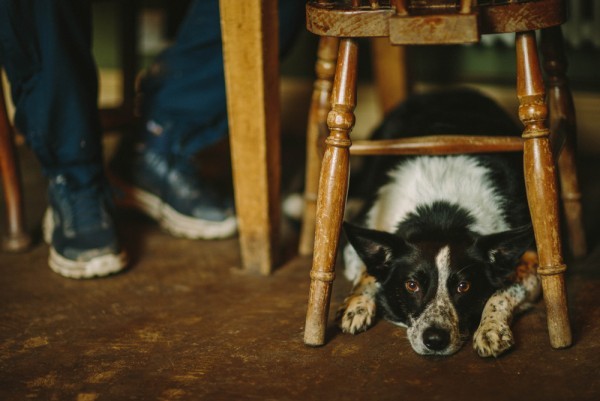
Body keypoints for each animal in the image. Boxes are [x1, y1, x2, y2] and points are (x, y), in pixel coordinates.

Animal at [340, 88, 540, 356]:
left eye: (464, 286)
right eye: (411, 285)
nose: (435, 340)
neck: (441, 214)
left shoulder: (531, 262)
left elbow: (500, 293)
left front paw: (491, 329)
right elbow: (367, 273)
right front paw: (358, 305)